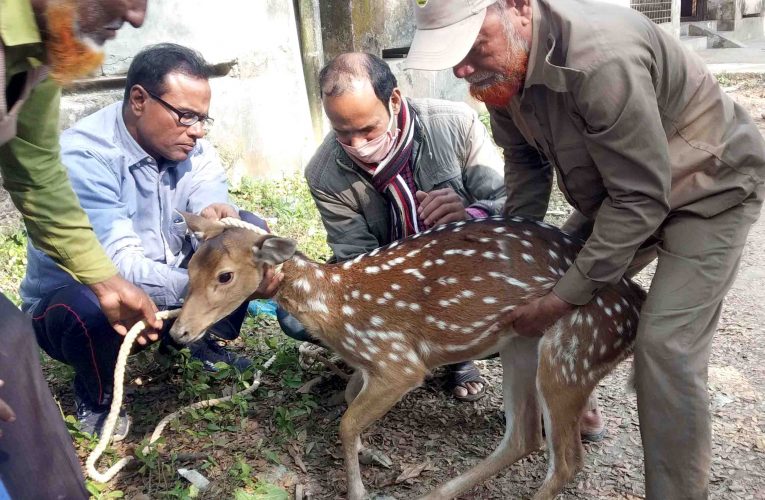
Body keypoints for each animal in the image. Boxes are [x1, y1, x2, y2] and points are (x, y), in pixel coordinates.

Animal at [169, 212, 644, 500]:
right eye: (188, 266)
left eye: (225, 276)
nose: (177, 332)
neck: (335, 306)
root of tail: (636, 306)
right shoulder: (368, 365)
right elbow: (348, 400)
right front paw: (372, 455)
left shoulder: (397, 360)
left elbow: (346, 422)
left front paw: (359, 490)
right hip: (522, 344)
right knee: (524, 435)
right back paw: (439, 491)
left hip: (576, 349)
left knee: (567, 460)